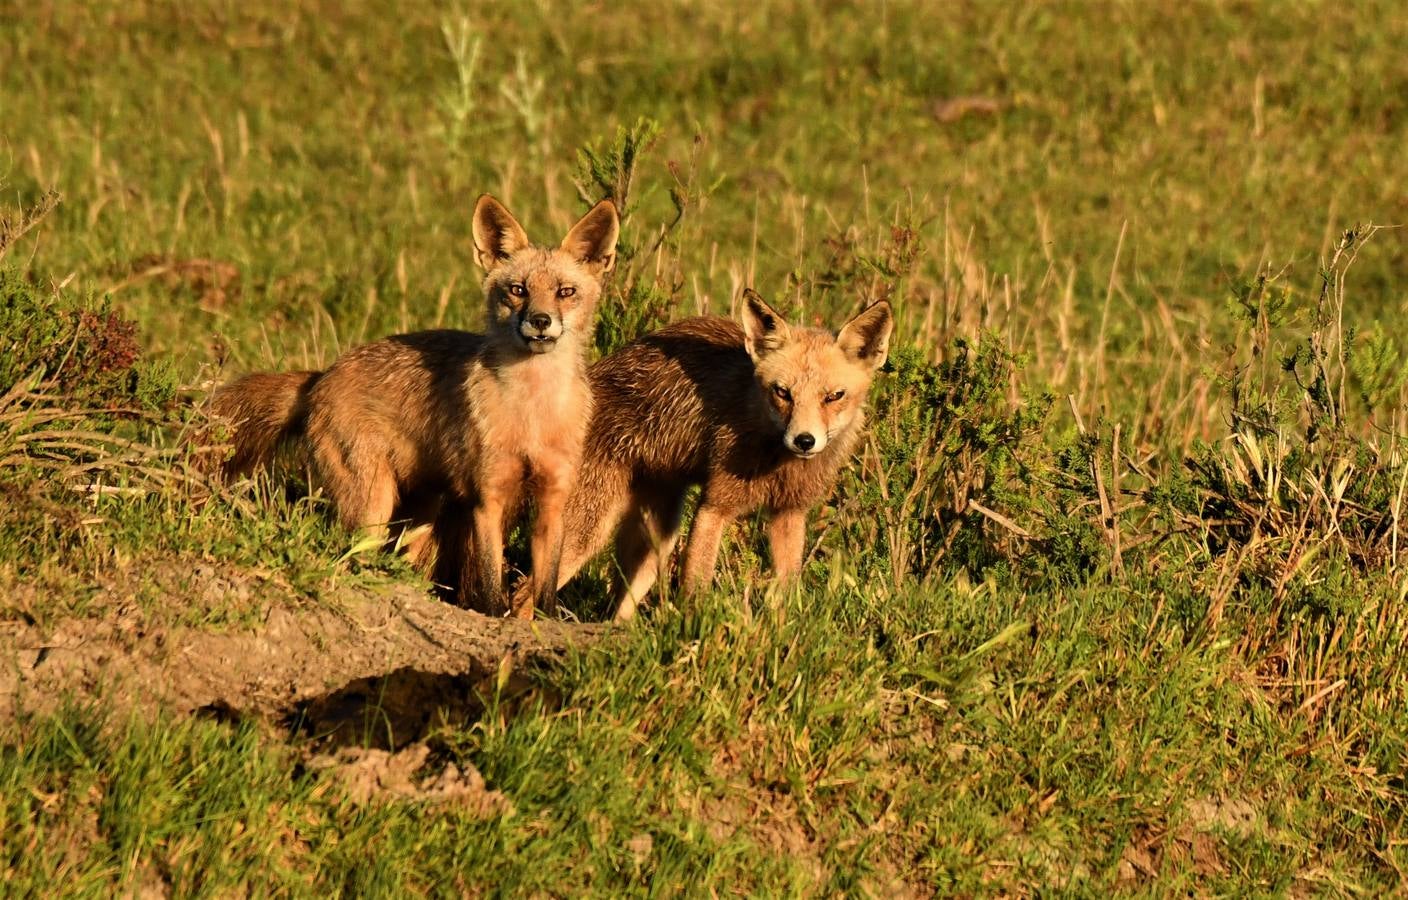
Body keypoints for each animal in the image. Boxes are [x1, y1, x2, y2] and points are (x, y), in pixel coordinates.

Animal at [211, 195, 619, 619]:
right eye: (518, 289)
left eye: (565, 292)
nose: (540, 321)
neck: (532, 418)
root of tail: (323, 374)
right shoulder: (487, 498)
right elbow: (491, 589)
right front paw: (493, 617)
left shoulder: (553, 500)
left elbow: (546, 591)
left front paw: (543, 621)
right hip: (372, 505)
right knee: (350, 557)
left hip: (418, 512)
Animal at [537, 288, 889, 619]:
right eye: (782, 392)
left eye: (834, 396)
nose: (804, 440)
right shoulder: (714, 505)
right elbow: (697, 590)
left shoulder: (789, 512)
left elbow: (787, 593)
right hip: (586, 535)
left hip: (656, 542)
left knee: (616, 613)